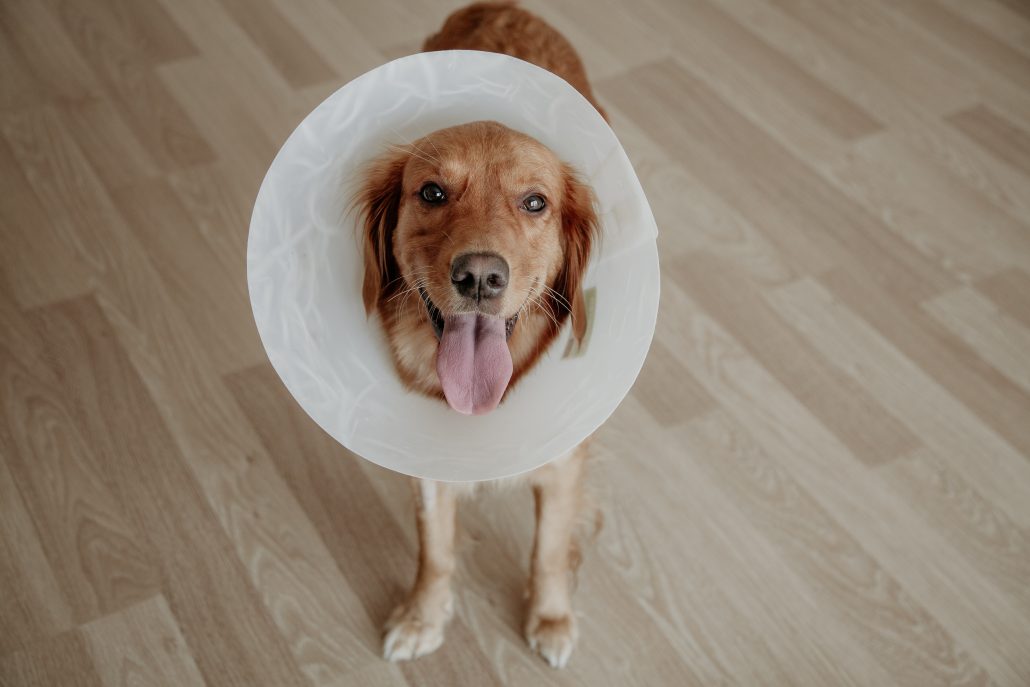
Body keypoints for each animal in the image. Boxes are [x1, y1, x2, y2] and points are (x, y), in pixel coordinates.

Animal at [358, 0, 605, 667]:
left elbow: (548, 549)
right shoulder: (424, 463)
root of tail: (502, 8)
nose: (479, 277)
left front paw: (551, 618)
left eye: (535, 203)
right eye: (432, 192)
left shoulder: (565, 460)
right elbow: (435, 547)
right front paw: (423, 616)